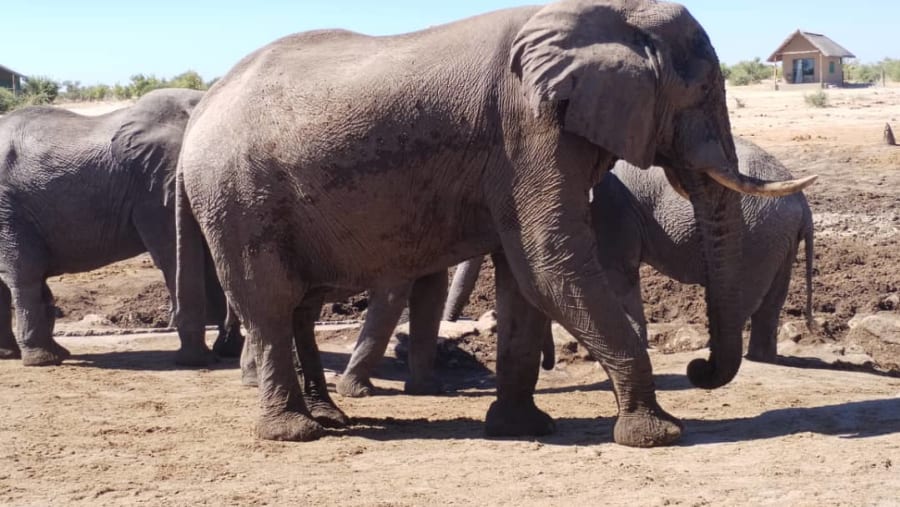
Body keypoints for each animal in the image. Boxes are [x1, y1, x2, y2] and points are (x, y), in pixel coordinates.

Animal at [0, 88, 240, 366]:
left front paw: (227, 352)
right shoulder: (155, 187)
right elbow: (179, 257)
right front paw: (198, 360)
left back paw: (21, 354)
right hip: (9, 210)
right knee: (25, 275)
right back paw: (43, 359)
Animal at [175, 0, 814, 447]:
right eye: (702, 89)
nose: (700, 368)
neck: (605, 13)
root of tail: (202, 109)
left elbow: (525, 278)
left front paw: (523, 427)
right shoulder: (526, 127)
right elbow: (550, 262)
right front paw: (658, 434)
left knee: (300, 308)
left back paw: (331, 418)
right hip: (237, 197)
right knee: (269, 303)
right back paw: (296, 433)